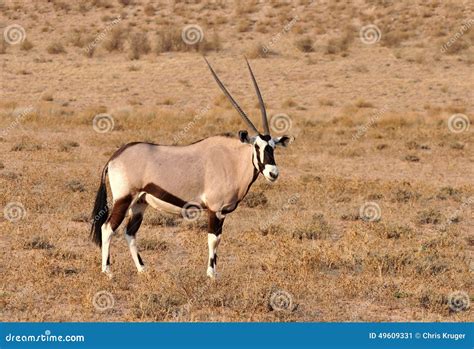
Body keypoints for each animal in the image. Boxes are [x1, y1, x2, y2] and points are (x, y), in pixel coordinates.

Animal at [90, 57, 290, 278]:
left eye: (273, 147)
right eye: (257, 147)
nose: (273, 173)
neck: (233, 160)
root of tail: (114, 157)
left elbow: (217, 239)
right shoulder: (215, 209)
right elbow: (213, 239)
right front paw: (211, 275)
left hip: (140, 203)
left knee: (130, 233)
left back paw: (143, 269)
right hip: (124, 198)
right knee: (108, 228)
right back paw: (108, 271)